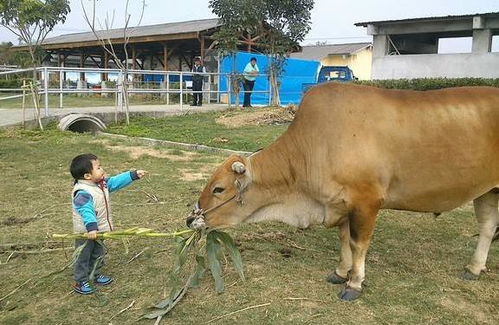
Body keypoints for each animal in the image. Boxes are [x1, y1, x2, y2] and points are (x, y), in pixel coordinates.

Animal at [188, 82, 499, 300]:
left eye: (218, 188)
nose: (192, 219)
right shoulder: (341, 204)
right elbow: (343, 240)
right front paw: (340, 272)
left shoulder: (366, 202)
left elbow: (358, 244)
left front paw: (354, 282)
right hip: (488, 191)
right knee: (487, 228)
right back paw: (474, 267)